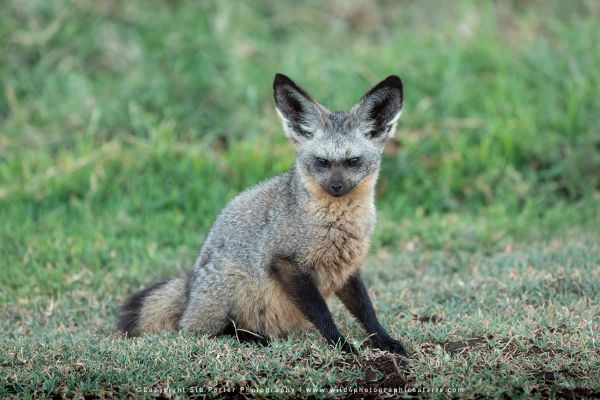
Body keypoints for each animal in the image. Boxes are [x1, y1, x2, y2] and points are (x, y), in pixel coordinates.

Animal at [117, 73, 408, 354]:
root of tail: (190, 291)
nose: (336, 187)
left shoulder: (347, 269)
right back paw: (252, 338)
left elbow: (367, 311)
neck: (337, 225)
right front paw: (340, 344)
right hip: (235, 286)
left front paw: (384, 340)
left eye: (353, 162)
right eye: (322, 162)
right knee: (208, 331)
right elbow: (322, 313)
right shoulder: (284, 261)